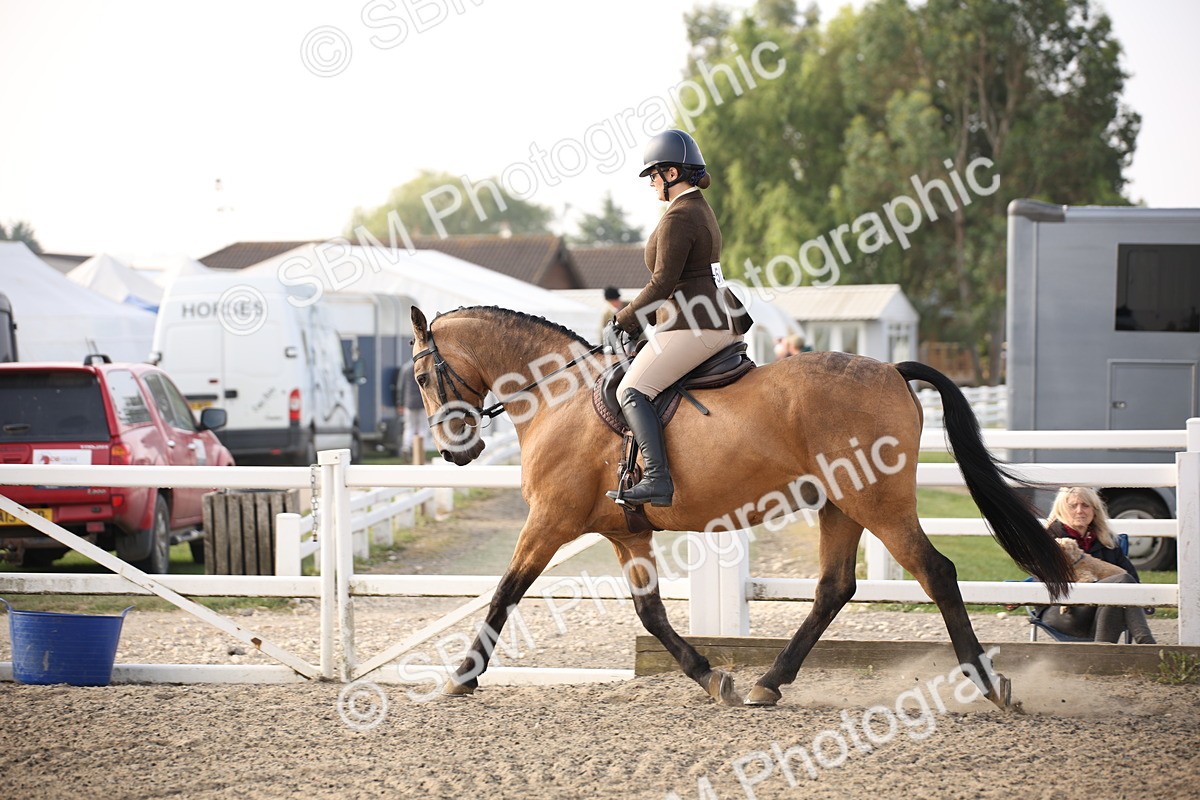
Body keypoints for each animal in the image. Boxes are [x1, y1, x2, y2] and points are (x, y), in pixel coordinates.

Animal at [408, 305, 1072, 708]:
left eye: (418, 377)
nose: (454, 451)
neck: (557, 395)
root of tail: (890, 368)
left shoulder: (550, 521)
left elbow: (505, 591)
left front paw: (461, 676)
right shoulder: (628, 535)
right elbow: (650, 614)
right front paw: (712, 678)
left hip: (878, 504)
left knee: (936, 573)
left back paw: (988, 683)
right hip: (841, 507)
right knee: (834, 589)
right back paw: (767, 684)